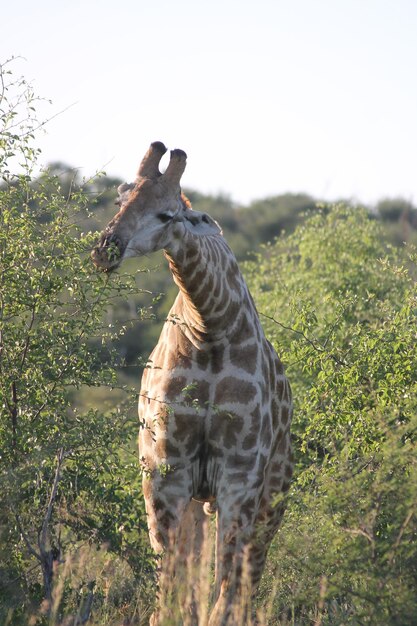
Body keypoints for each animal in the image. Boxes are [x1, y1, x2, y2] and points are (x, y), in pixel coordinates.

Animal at [91, 143, 292, 624]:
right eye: (120, 197)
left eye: (166, 214)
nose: (105, 249)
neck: (210, 327)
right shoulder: (167, 469)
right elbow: (171, 587)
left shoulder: (240, 475)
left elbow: (224, 587)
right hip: (199, 498)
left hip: (274, 494)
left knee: (247, 578)